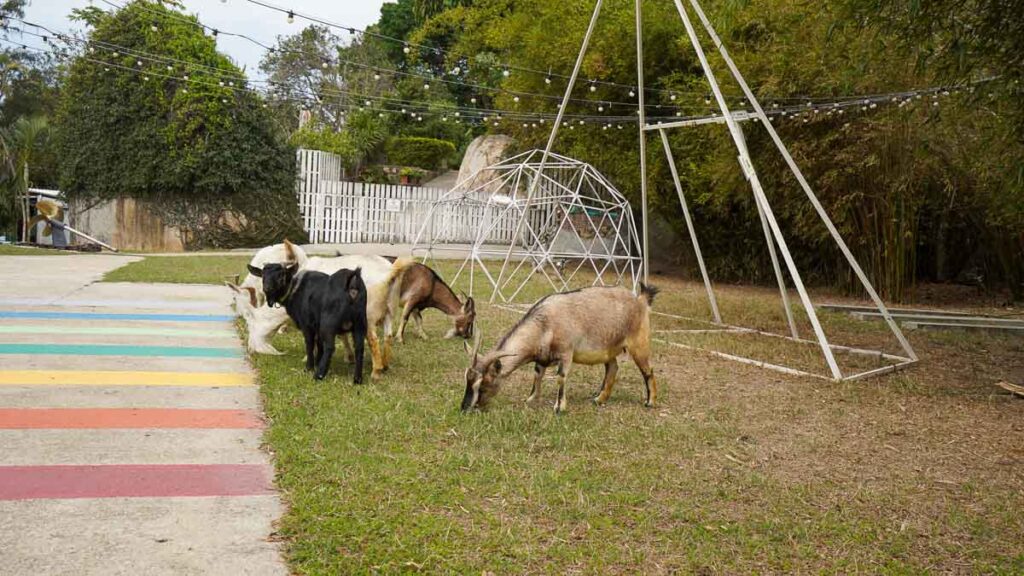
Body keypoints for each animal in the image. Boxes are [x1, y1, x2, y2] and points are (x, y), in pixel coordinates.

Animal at [462, 282, 659, 412]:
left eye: (483, 384)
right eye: (468, 381)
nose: (464, 408)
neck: (545, 324)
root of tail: (641, 300)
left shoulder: (566, 353)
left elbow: (560, 377)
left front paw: (559, 407)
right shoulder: (542, 357)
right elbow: (537, 376)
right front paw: (530, 399)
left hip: (639, 342)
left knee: (648, 370)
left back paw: (650, 402)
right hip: (608, 348)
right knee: (613, 368)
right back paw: (599, 399)